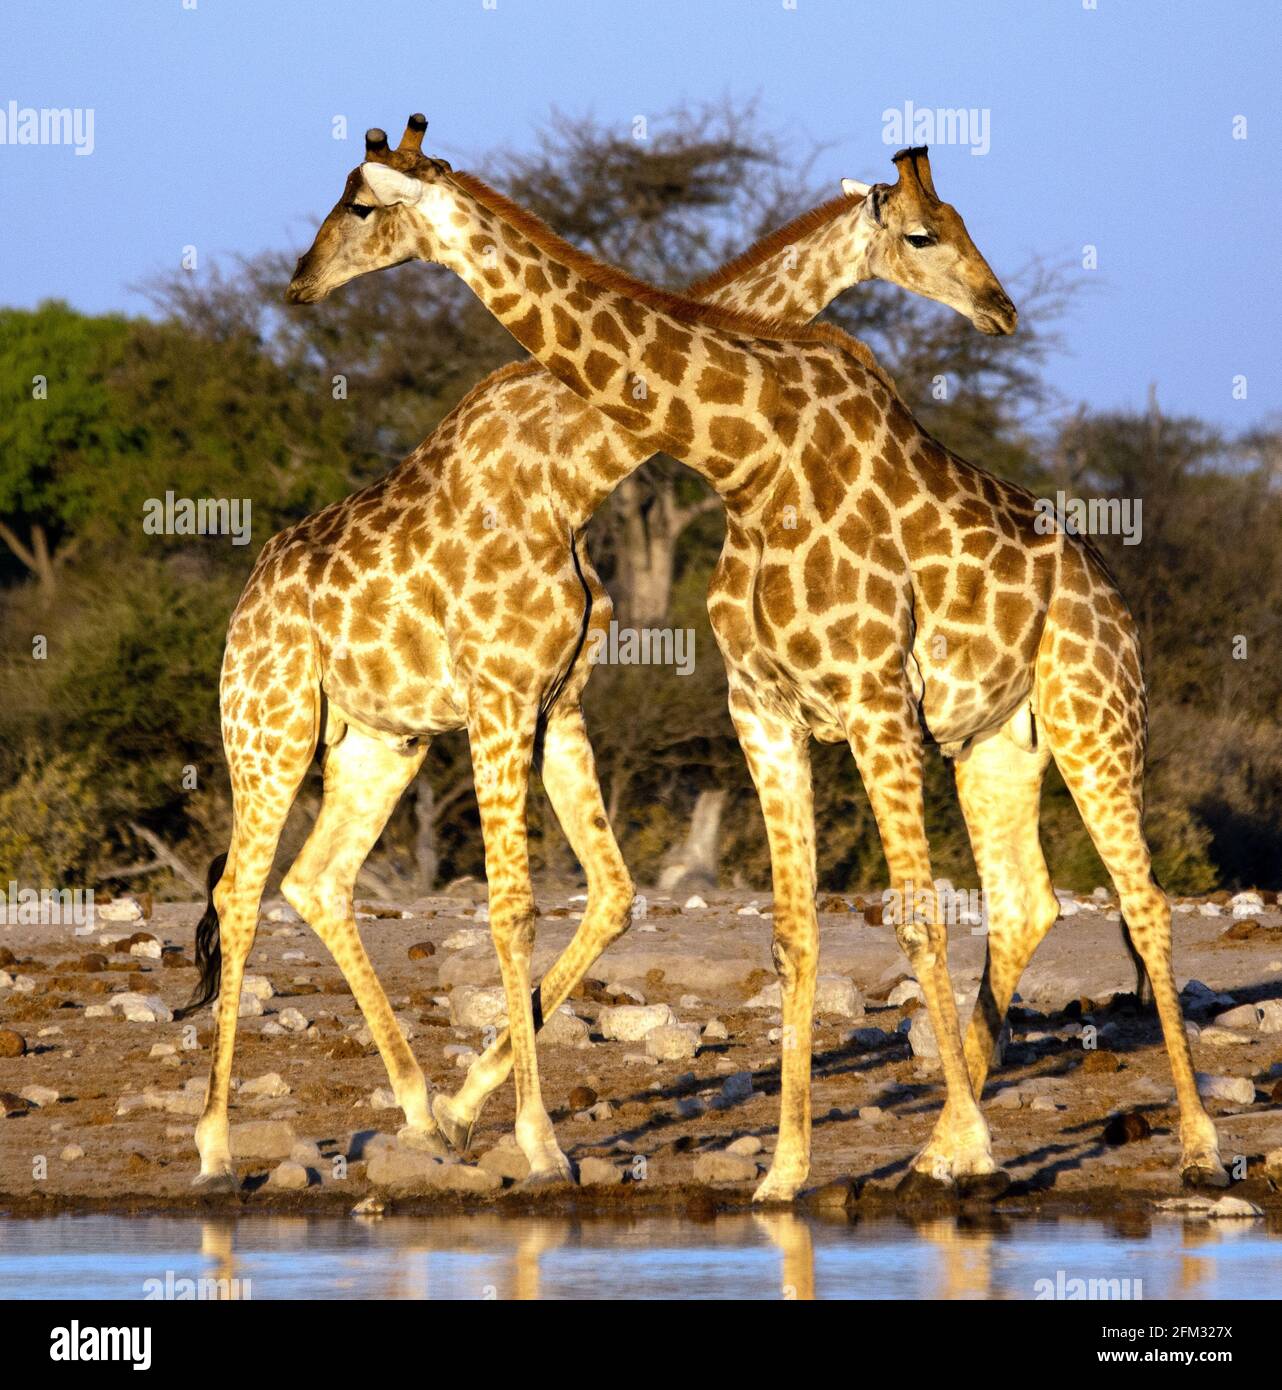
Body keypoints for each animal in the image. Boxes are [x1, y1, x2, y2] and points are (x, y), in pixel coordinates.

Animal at [182, 113, 1017, 1189]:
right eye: (923, 234)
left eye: (358, 203)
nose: (998, 307)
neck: (572, 470)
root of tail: (247, 602)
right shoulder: (499, 695)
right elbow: (510, 906)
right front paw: (538, 1141)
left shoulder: (556, 698)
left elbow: (612, 894)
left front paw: (474, 1107)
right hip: (270, 725)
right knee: (241, 892)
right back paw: (214, 1145)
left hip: (379, 740)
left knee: (314, 881)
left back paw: (419, 1112)